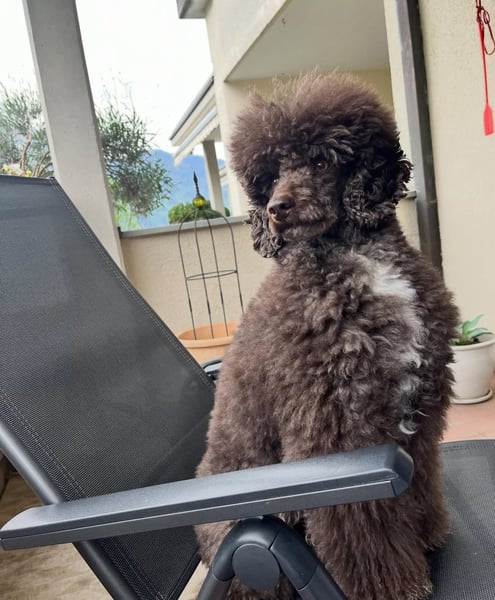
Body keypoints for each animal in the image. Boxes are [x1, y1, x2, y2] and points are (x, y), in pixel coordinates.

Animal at [195, 71, 459, 599]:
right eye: (270, 175)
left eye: (320, 160)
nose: (277, 208)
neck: (357, 257)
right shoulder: (336, 430)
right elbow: (363, 527)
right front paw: (392, 585)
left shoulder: (418, 416)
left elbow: (418, 484)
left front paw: (426, 535)